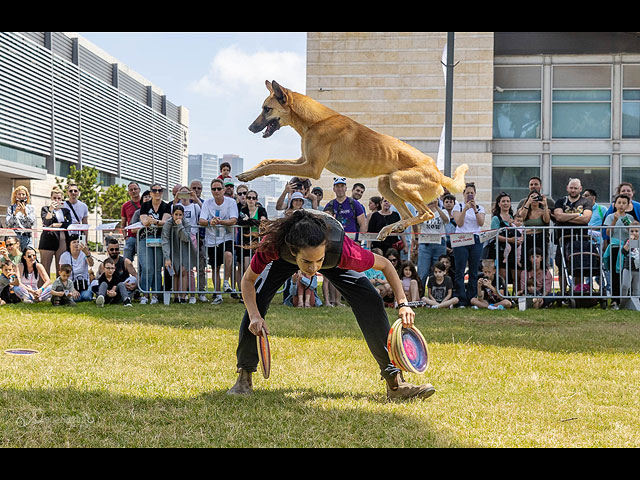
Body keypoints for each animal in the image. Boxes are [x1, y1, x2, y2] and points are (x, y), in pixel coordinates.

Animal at [238, 81, 468, 244]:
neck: (314, 121)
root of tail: (438, 171)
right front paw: (248, 173)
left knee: (426, 213)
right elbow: (269, 160)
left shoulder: (311, 168)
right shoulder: (303, 160)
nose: (250, 128)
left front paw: (248, 175)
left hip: (398, 181)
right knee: (410, 213)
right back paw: (390, 229)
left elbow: (273, 166)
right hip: (386, 184)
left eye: (266, 109)